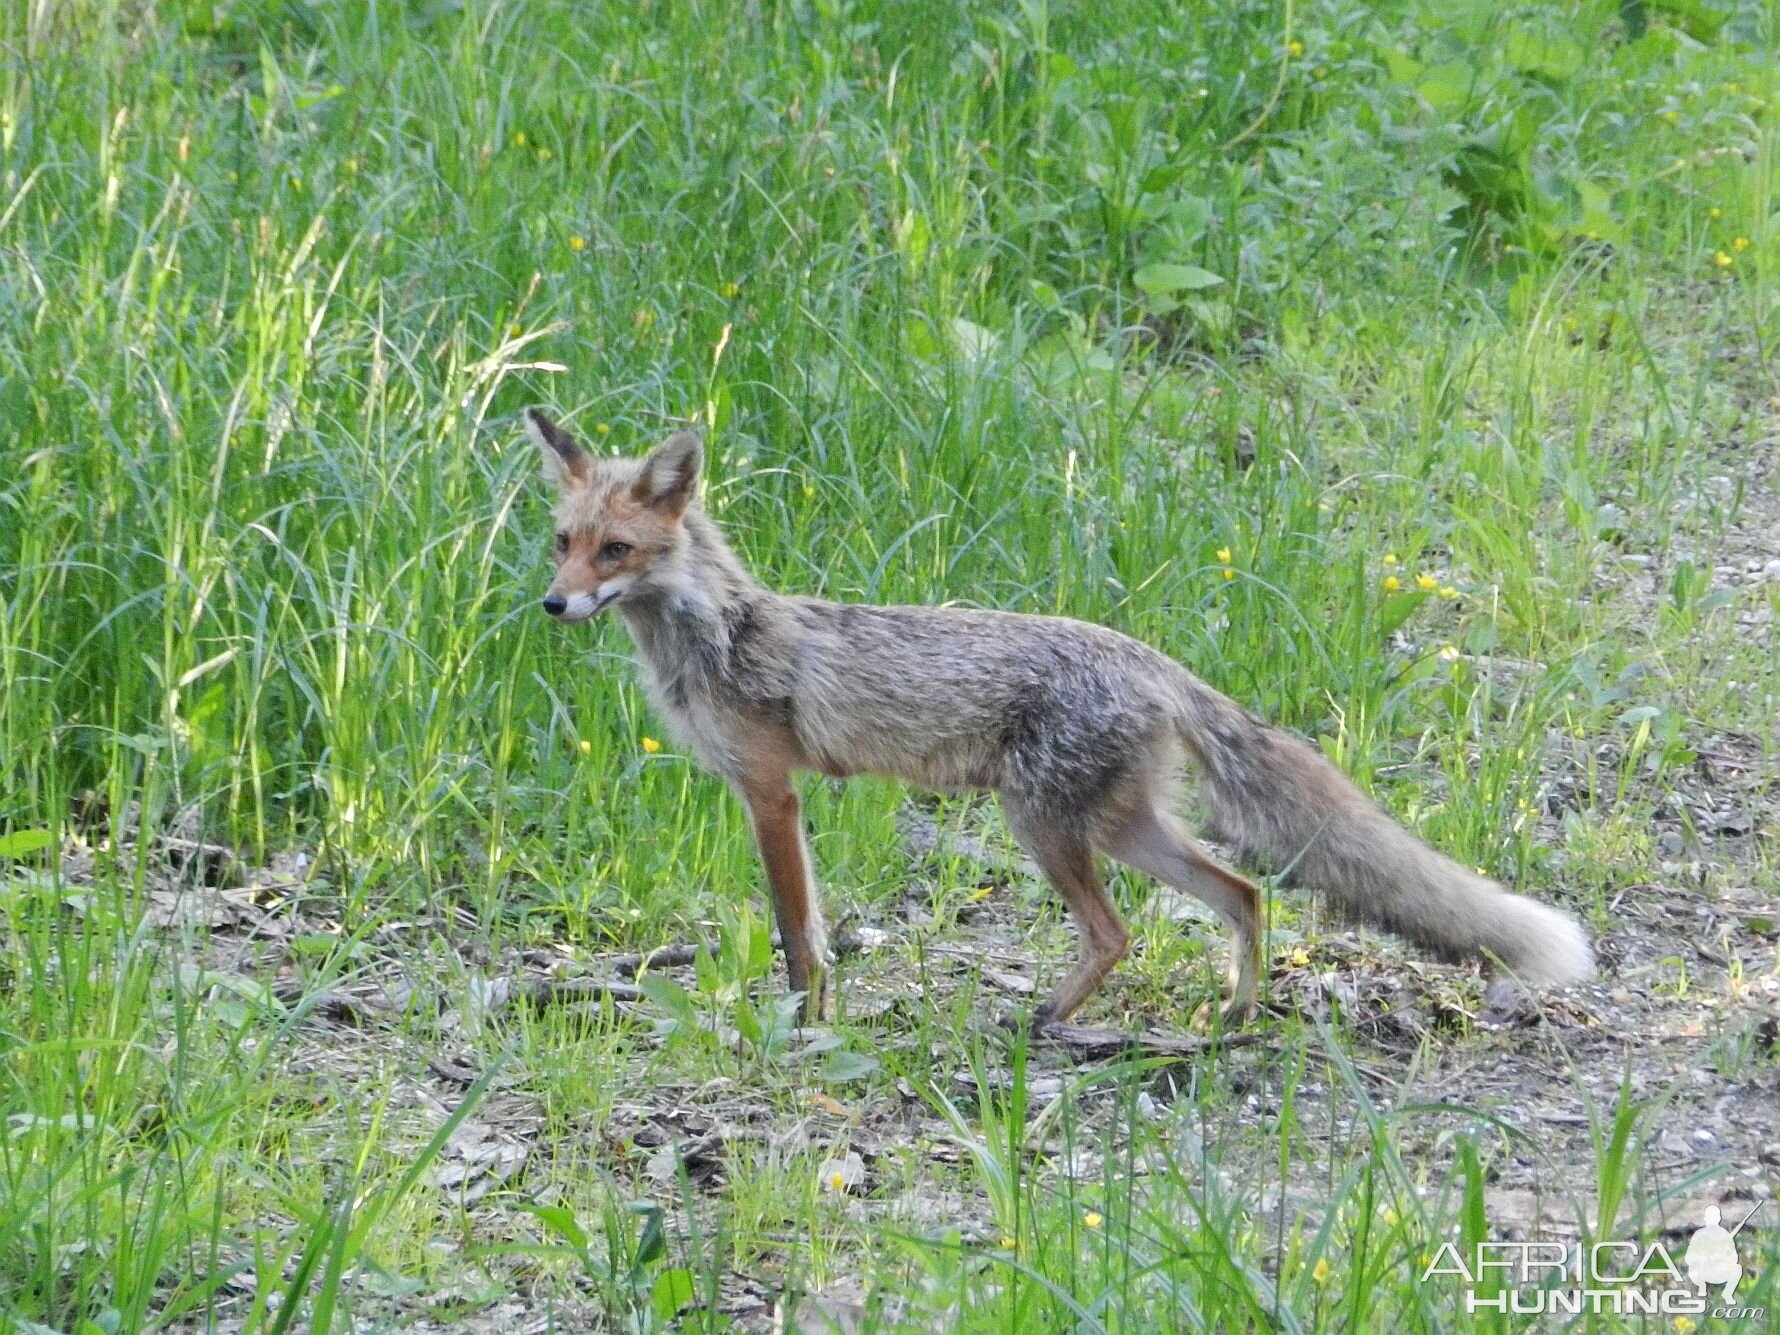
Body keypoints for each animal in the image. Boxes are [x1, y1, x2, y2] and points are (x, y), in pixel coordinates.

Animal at [519, 412, 1594, 1032]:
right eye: (563, 542)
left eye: (616, 551)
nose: (553, 604)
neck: (718, 636)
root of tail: (1152, 658)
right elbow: (802, 929)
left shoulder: (772, 793)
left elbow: (798, 934)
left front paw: (806, 1022)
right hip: (1120, 827)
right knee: (1243, 892)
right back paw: (1234, 1013)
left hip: (1042, 825)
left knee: (1119, 931)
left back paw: (1042, 1021)